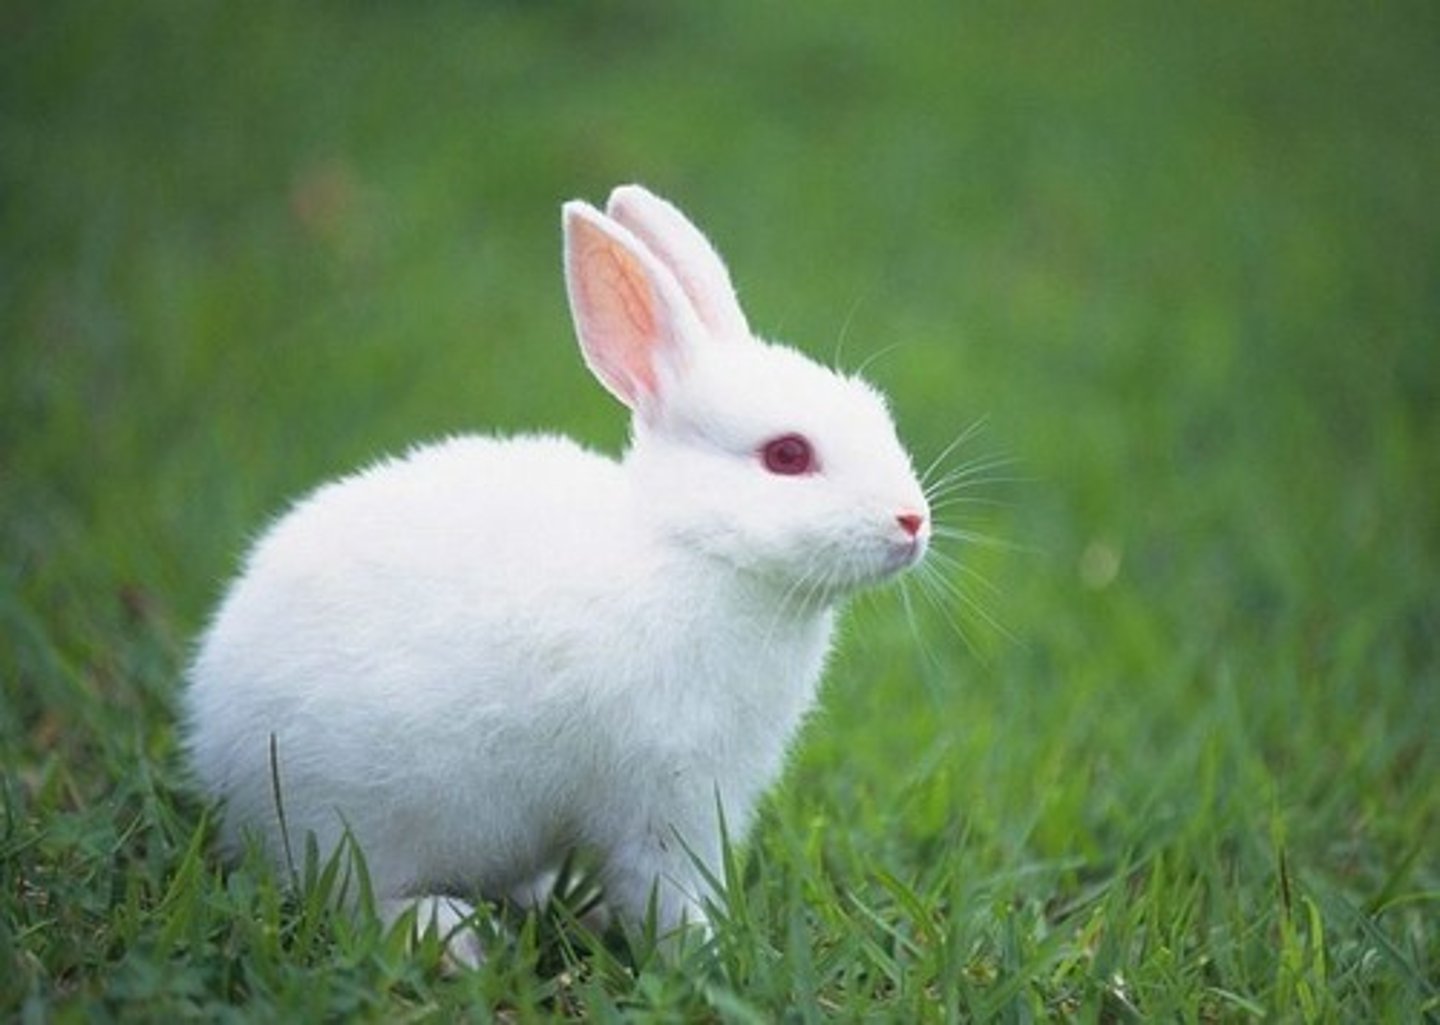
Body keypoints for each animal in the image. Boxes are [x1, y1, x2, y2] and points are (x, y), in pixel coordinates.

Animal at [184, 184, 932, 966]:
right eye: (787, 455)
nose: (912, 521)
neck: (693, 549)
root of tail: (213, 740)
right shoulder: (666, 797)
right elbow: (666, 891)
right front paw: (709, 957)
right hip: (357, 817)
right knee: (351, 896)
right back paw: (453, 936)